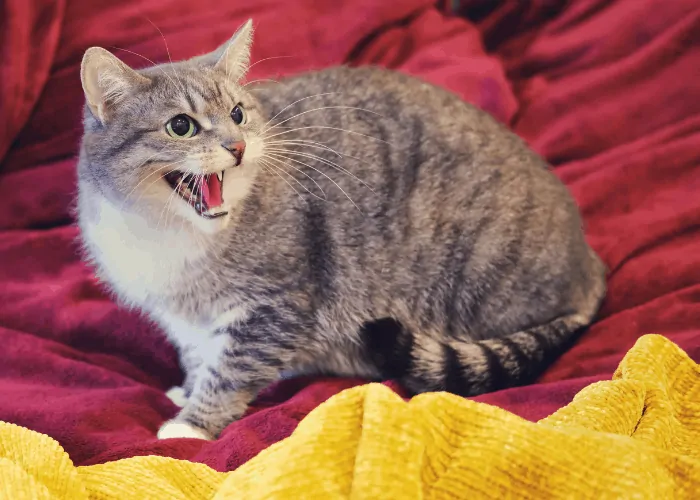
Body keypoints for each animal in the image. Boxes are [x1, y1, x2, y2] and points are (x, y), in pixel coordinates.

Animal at [76, 19, 608, 440]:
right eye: (181, 126)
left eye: (238, 114)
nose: (238, 146)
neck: (167, 234)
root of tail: (589, 269)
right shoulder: (181, 317)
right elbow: (197, 354)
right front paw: (186, 391)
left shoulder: (276, 307)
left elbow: (229, 370)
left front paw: (193, 423)